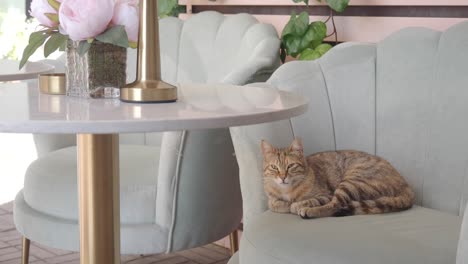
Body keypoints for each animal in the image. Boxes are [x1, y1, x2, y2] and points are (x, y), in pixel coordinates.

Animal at [262, 138, 414, 219]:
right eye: (274, 167)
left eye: (291, 166)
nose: (283, 177)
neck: (287, 190)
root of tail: (406, 185)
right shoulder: (271, 200)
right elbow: (275, 204)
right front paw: (286, 204)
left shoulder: (326, 195)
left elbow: (306, 201)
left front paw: (297, 205)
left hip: (352, 181)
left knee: (334, 205)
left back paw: (309, 212)